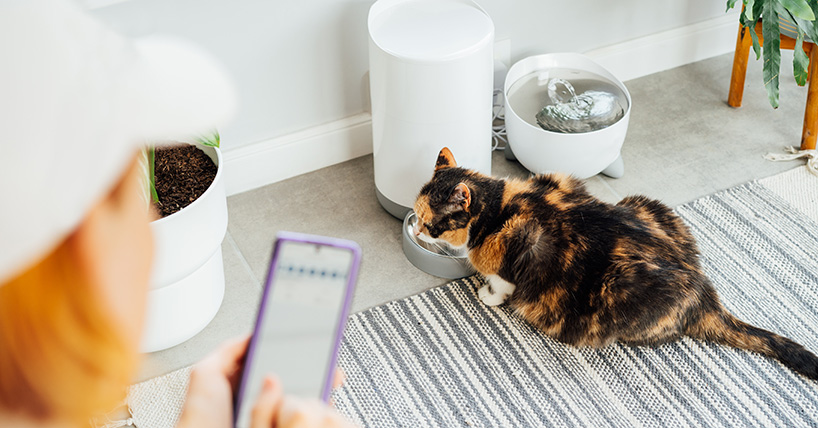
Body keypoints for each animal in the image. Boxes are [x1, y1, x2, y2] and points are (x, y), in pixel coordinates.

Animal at [414, 148, 816, 382]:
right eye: (416, 216)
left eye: (428, 221)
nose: (415, 229)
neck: (498, 206)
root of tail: (706, 294)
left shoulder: (520, 250)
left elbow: (501, 284)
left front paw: (486, 294)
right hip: (650, 205)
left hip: (622, 287)